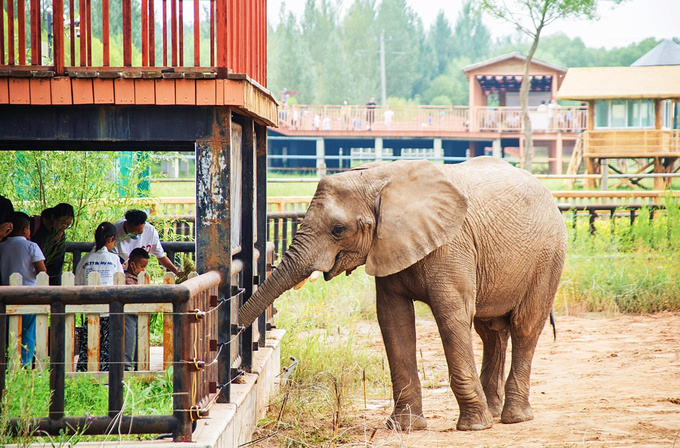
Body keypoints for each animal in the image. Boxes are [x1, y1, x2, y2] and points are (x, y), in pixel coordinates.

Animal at [240, 157, 568, 430]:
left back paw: (514, 418)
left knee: (525, 326)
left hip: (549, 256)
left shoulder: (452, 246)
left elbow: (452, 316)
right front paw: (405, 427)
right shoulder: (388, 245)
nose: (235, 326)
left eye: (338, 229)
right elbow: (393, 319)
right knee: (491, 332)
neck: (379, 178)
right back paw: (495, 411)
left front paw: (474, 427)